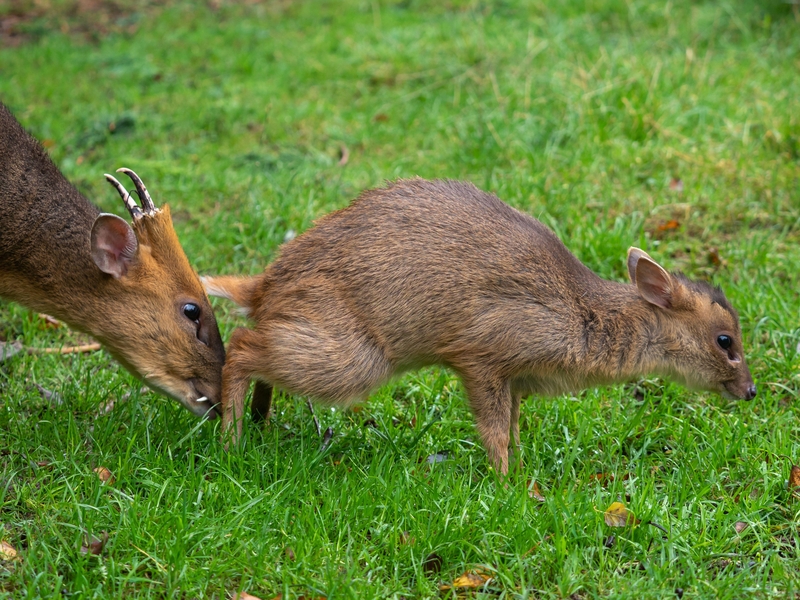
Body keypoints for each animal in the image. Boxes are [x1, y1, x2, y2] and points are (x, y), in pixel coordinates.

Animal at [205, 178, 756, 474]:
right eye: (725, 340)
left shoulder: (515, 379)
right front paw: (508, 483)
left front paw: (522, 473)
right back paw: (231, 443)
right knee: (241, 345)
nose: (750, 390)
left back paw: (257, 424)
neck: (580, 318)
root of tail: (264, 284)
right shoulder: (481, 355)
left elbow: (512, 427)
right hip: (352, 358)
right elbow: (493, 432)